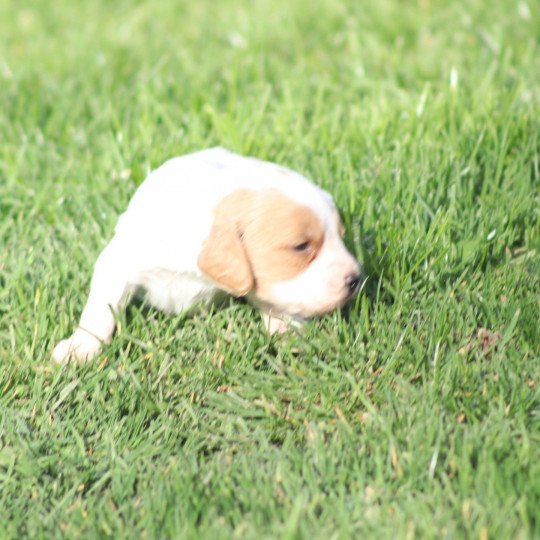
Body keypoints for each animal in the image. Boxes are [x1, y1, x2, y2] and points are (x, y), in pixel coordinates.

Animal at [52, 148, 360, 362]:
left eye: (342, 236)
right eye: (301, 246)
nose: (356, 279)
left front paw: (287, 330)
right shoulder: (121, 260)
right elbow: (100, 309)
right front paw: (80, 348)